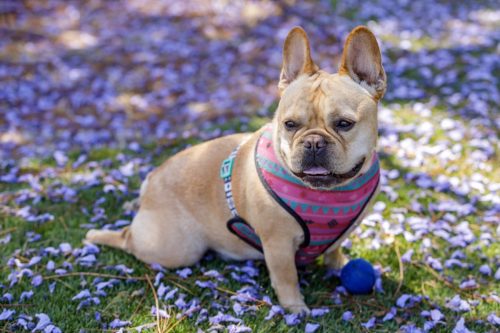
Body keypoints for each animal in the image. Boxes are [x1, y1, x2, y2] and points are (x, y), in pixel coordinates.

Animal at [87, 25, 386, 312]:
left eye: (344, 124)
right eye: (290, 125)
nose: (313, 142)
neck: (328, 195)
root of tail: (151, 180)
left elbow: (334, 248)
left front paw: (337, 264)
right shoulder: (277, 244)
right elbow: (286, 276)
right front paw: (295, 308)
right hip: (175, 248)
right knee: (129, 238)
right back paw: (100, 235)